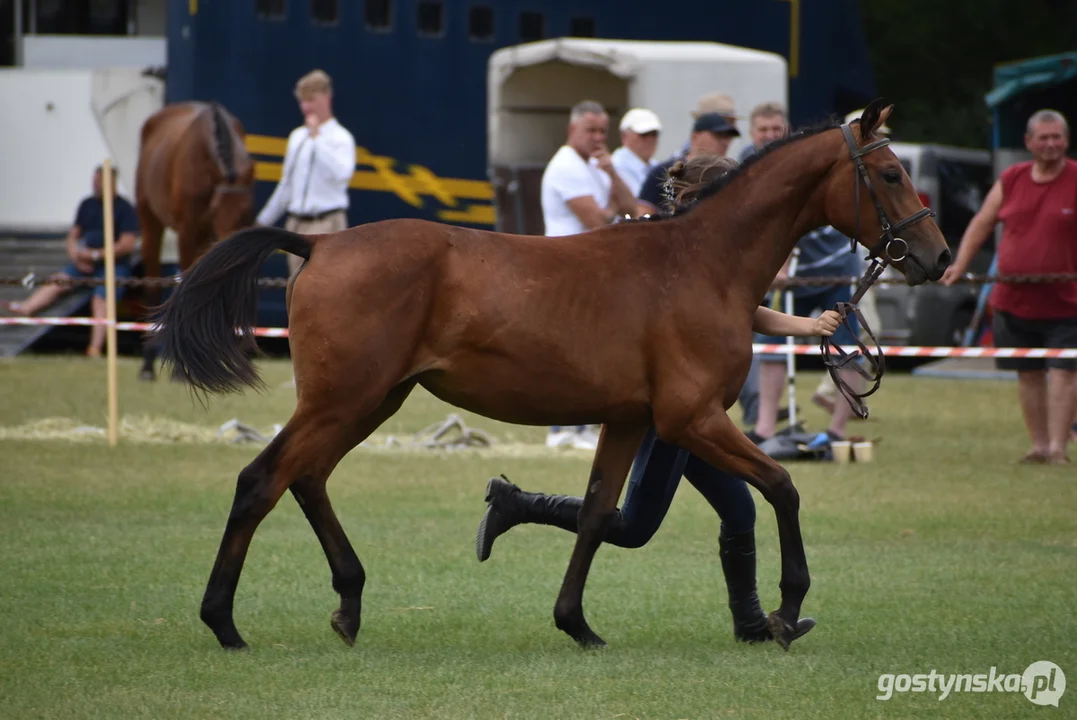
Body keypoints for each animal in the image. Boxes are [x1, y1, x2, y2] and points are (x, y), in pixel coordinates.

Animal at [134, 101, 256, 380]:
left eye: (247, 212)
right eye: (216, 209)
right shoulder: (188, 232)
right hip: (151, 222)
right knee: (154, 285)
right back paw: (147, 364)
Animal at [149, 99, 952, 650]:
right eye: (889, 172)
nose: (938, 257)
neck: (700, 265)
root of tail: (317, 247)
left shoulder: (631, 421)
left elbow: (596, 514)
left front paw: (576, 624)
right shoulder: (690, 419)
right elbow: (782, 487)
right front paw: (785, 611)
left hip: (372, 400)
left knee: (306, 479)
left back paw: (348, 603)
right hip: (343, 399)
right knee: (263, 480)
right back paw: (224, 623)